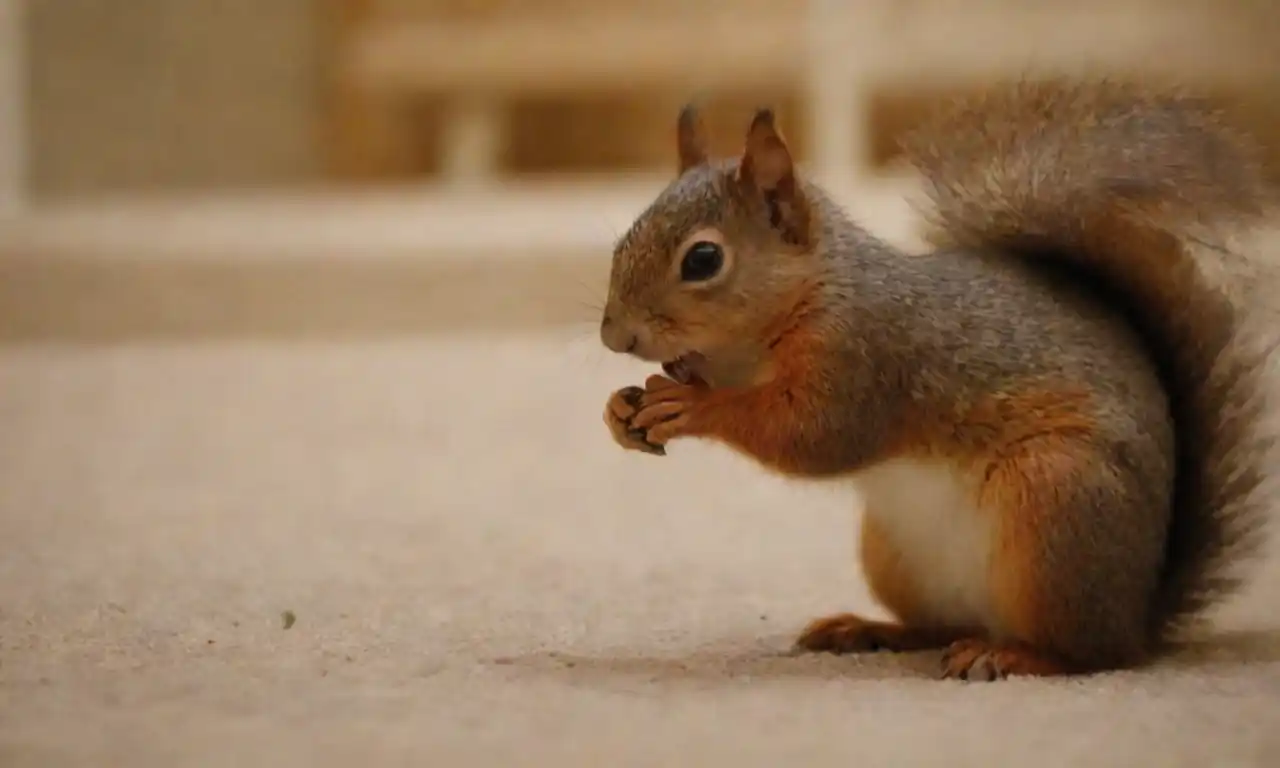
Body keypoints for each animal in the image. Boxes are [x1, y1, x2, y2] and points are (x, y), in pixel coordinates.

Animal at [597, 78, 1280, 681]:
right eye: (622, 239)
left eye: (703, 259)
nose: (613, 337)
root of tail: (1138, 613)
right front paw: (619, 411)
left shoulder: (866, 357)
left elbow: (812, 435)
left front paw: (691, 406)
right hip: (898, 556)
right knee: (942, 626)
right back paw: (868, 630)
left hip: (1056, 505)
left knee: (1089, 655)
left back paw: (1013, 657)